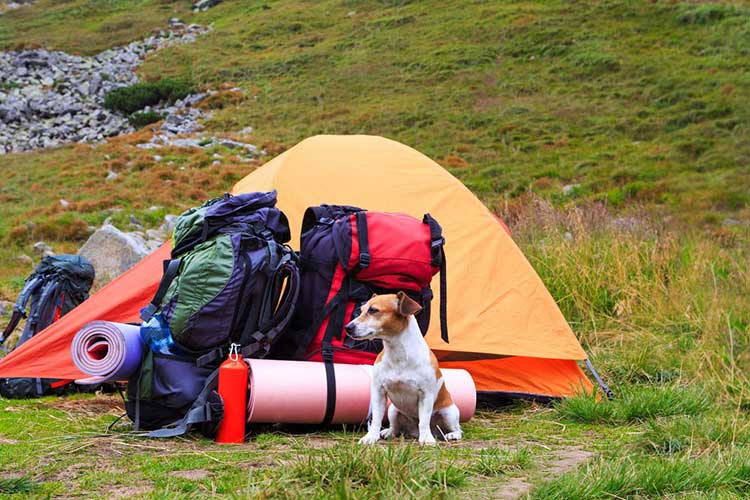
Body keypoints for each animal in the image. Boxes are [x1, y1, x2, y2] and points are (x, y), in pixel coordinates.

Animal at [348, 290, 464, 446]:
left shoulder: (425, 395)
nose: (348, 327)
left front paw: (426, 438)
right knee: (395, 427)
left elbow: (424, 421)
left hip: (449, 413)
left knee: (457, 428)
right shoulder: (379, 392)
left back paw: (451, 435)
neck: (398, 354)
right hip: (393, 410)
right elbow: (376, 419)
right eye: (361, 310)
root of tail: (414, 432)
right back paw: (389, 432)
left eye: (373, 310)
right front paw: (371, 436)